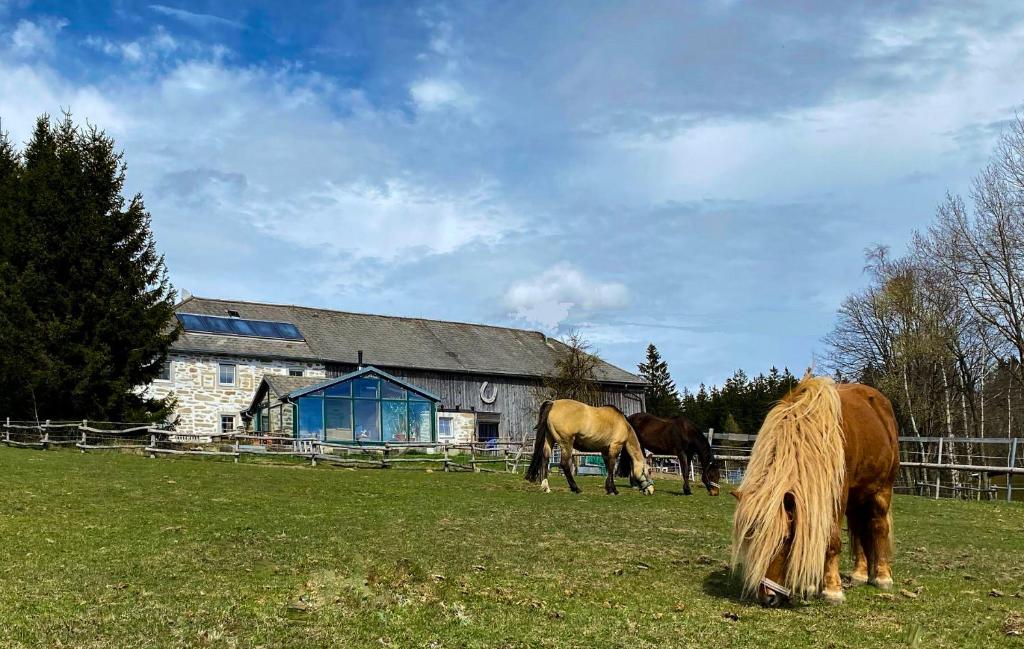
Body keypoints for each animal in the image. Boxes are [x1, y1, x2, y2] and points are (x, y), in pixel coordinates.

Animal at [524, 399, 655, 495]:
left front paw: (609, 488)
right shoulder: (615, 447)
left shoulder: (604, 451)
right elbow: (612, 468)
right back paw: (575, 488)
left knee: (545, 460)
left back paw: (546, 487)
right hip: (566, 443)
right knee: (564, 464)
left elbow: (608, 468)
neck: (624, 425)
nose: (651, 490)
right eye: (649, 470)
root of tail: (553, 403)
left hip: (549, 440)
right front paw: (613, 490)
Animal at [730, 375, 899, 606]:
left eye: (785, 539)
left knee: (878, 526)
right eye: (750, 539)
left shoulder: (837, 494)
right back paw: (860, 574)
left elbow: (832, 540)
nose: (768, 597)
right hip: (856, 498)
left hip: (882, 490)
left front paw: (832, 590)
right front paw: (812, 585)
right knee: (858, 529)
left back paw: (882, 576)